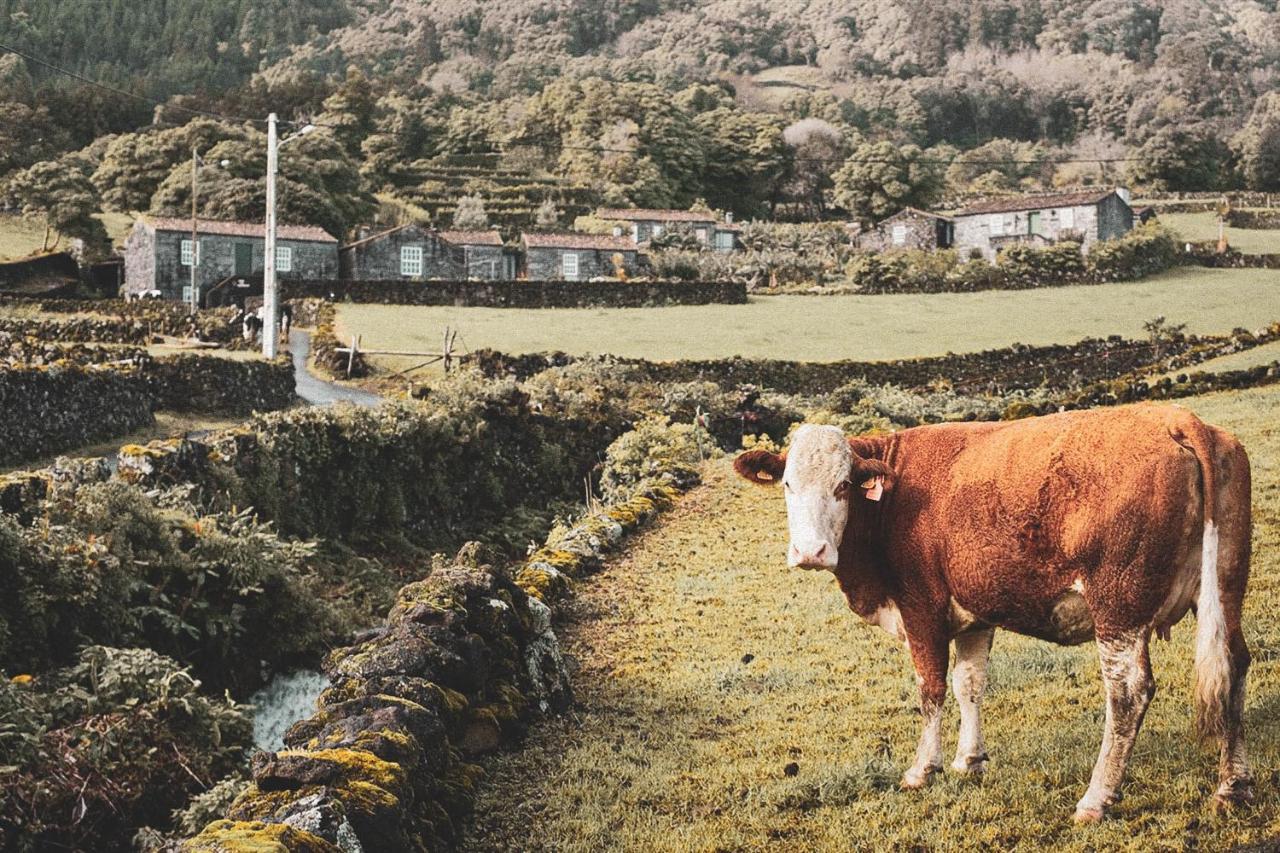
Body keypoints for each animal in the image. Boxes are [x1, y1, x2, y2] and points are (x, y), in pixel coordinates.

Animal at [737, 404, 1254, 819]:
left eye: (843, 485)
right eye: (787, 484)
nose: (811, 552)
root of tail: (1173, 418)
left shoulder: (921, 607)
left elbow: (931, 689)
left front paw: (923, 769)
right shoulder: (974, 613)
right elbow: (969, 684)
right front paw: (970, 760)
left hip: (1118, 607)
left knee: (1128, 692)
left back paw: (1096, 798)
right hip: (1225, 589)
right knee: (1233, 664)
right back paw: (1233, 786)